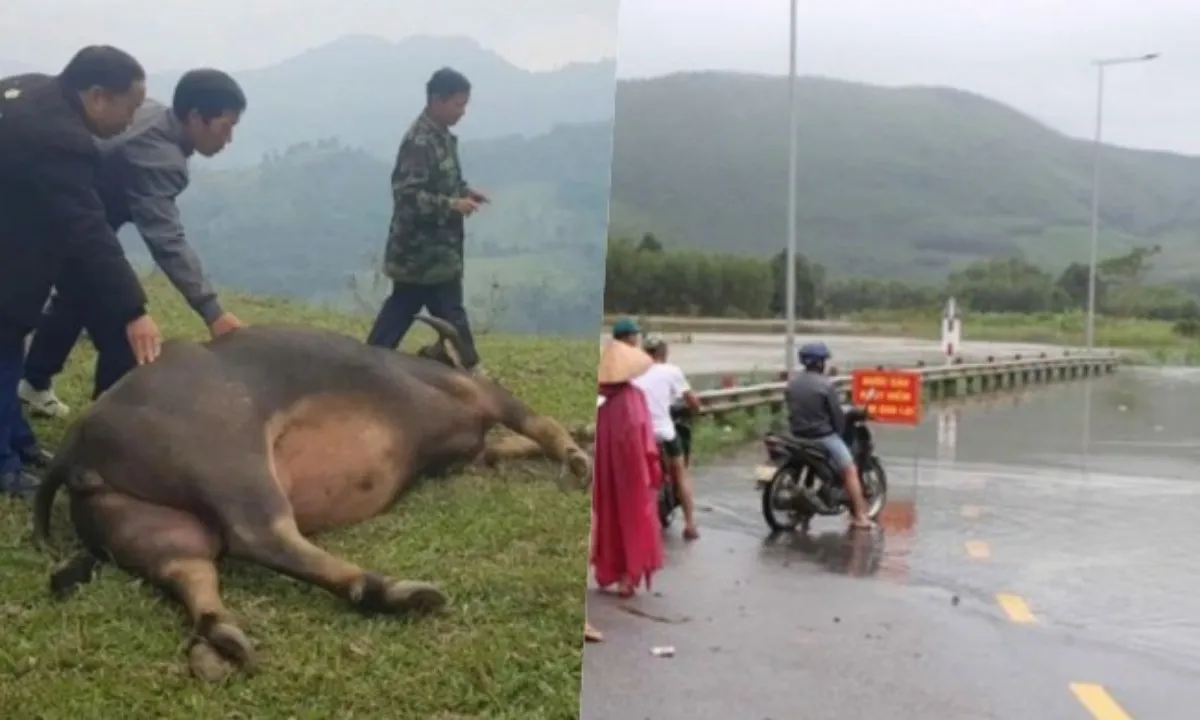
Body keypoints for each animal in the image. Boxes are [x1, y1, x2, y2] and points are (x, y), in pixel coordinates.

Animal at [35, 319, 597, 681]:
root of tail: (77, 441)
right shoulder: (483, 396)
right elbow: (540, 424)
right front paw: (577, 458)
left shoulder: (471, 454)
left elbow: (511, 445)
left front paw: (584, 435)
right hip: (237, 466)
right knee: (262, 535)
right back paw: (395, 590)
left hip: (153, 526)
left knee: (188, 570)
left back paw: (223, 640)